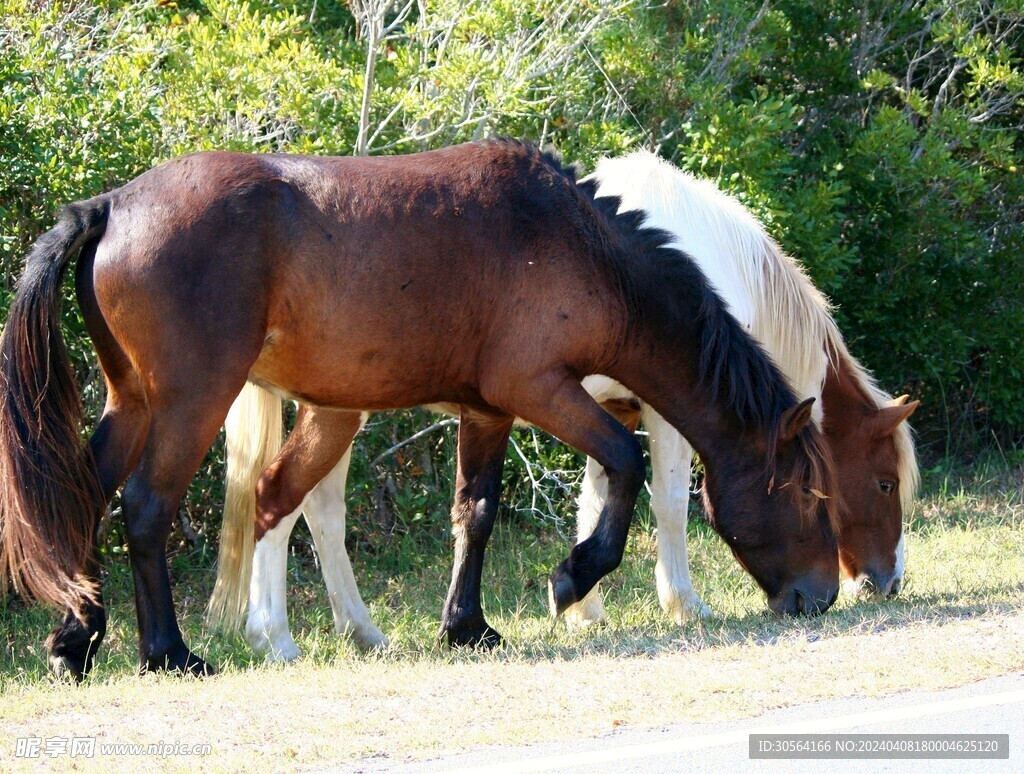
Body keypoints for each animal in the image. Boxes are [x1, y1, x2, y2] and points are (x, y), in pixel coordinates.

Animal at [209, 152, 921, 663]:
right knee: (298, 504)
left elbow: (591, 497)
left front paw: (582, 603)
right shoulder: (644, 413)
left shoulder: (606, 406)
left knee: (317, 510)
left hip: (335, 409)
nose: (879, 584)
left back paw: (361, 632)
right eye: (883, 483)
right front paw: (670, 602)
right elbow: (662, 498)